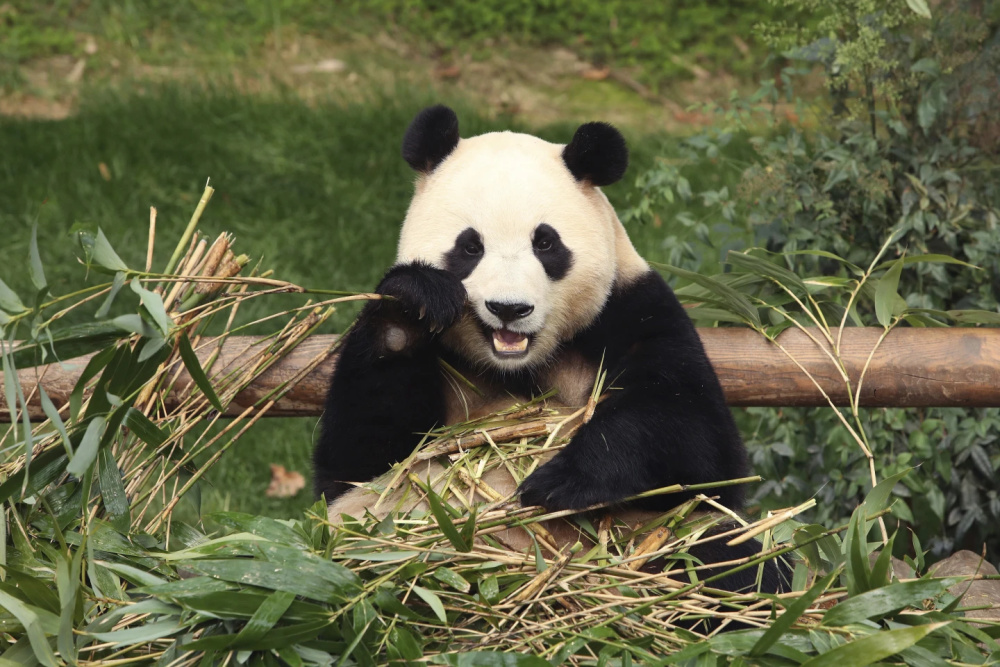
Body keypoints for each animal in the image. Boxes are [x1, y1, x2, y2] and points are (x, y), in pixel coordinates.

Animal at [312, 104, 780, 596]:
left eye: (545, 242)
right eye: (470, 246)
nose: (509, 308)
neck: (519, 366)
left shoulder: (634, 312)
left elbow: (697, 439)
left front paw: (559, 481)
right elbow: (358, 459)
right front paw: (412, 306)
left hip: (660, 536)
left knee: (731, 559)